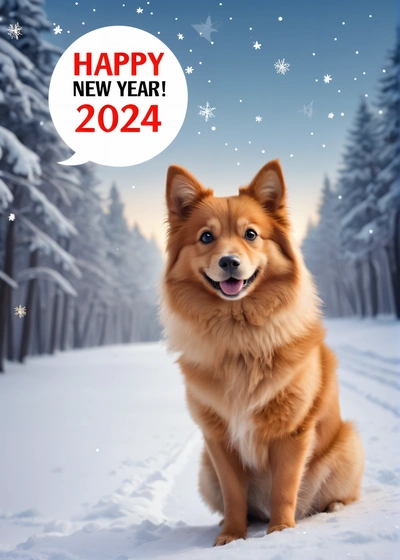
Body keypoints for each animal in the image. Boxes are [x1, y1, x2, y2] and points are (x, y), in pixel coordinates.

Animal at [161, 161, 364, 548]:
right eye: (206, 237)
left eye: (251, 234)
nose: (229, 262)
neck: (240, 338)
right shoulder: (217, 438)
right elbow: (234, 494)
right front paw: (231, 535)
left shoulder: (292, 431)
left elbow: (284, 487)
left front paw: (281, 532)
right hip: (205, 471)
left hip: (347, 446)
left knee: (339, 496)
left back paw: (332, 508)